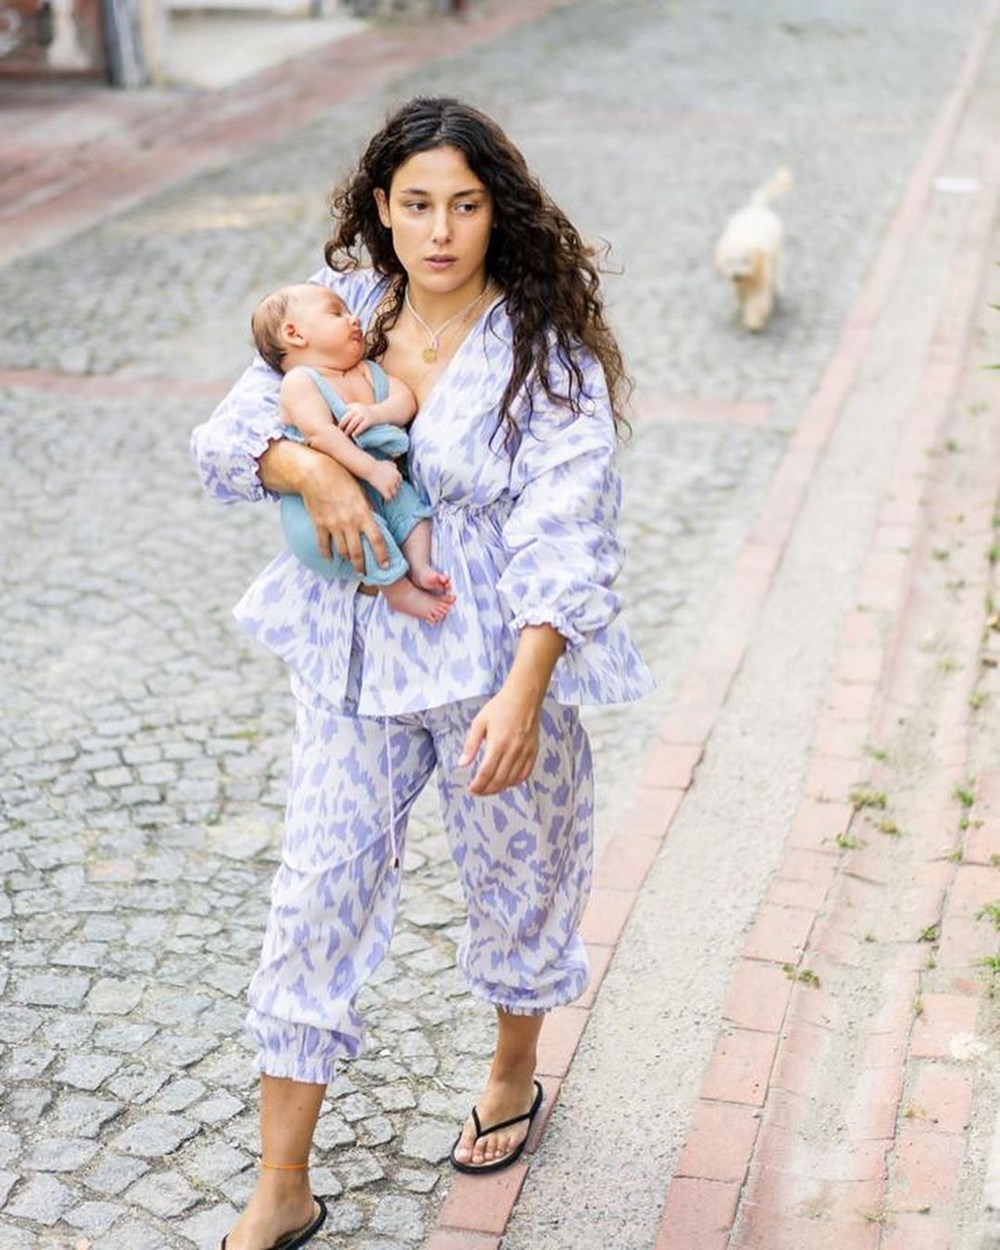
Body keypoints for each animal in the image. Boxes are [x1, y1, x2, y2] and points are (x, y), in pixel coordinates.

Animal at [715, 168, 795, 332]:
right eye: (729, 262)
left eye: (745, 261)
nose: (736, 275)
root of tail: (757, 206)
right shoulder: (736, 282)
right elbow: (739, 294)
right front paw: (741, 302)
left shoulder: (761, 277)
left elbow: (757, 301)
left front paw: (754, 321)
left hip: (776, 252)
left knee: (777, 270)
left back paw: (778, 287)